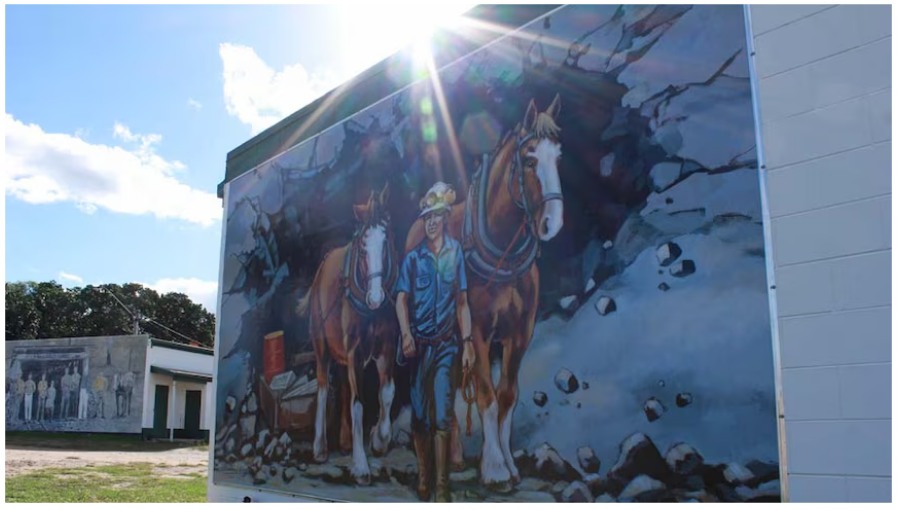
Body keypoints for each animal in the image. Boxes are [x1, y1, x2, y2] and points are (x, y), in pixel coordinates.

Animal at [298, 184, 400, 486]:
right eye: (363, 248)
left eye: (386, 242)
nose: (376, 298)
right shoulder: (355, 351)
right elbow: (358, 404)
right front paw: (361, 466)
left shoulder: (387, 347)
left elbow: (387, 392)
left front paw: (379, 439)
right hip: (321, 344)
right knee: (322, 385)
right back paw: (320, 447)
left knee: (343, 384)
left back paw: (343, 441)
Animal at [406, 93, 564, 488]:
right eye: (530, 160)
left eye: (559, 157)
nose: (553, 223)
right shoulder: (474, 332)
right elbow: (485, 397)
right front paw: (493, 469)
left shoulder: (519, 333)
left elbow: (507, 396)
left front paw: (507, 462)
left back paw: (455, 454)